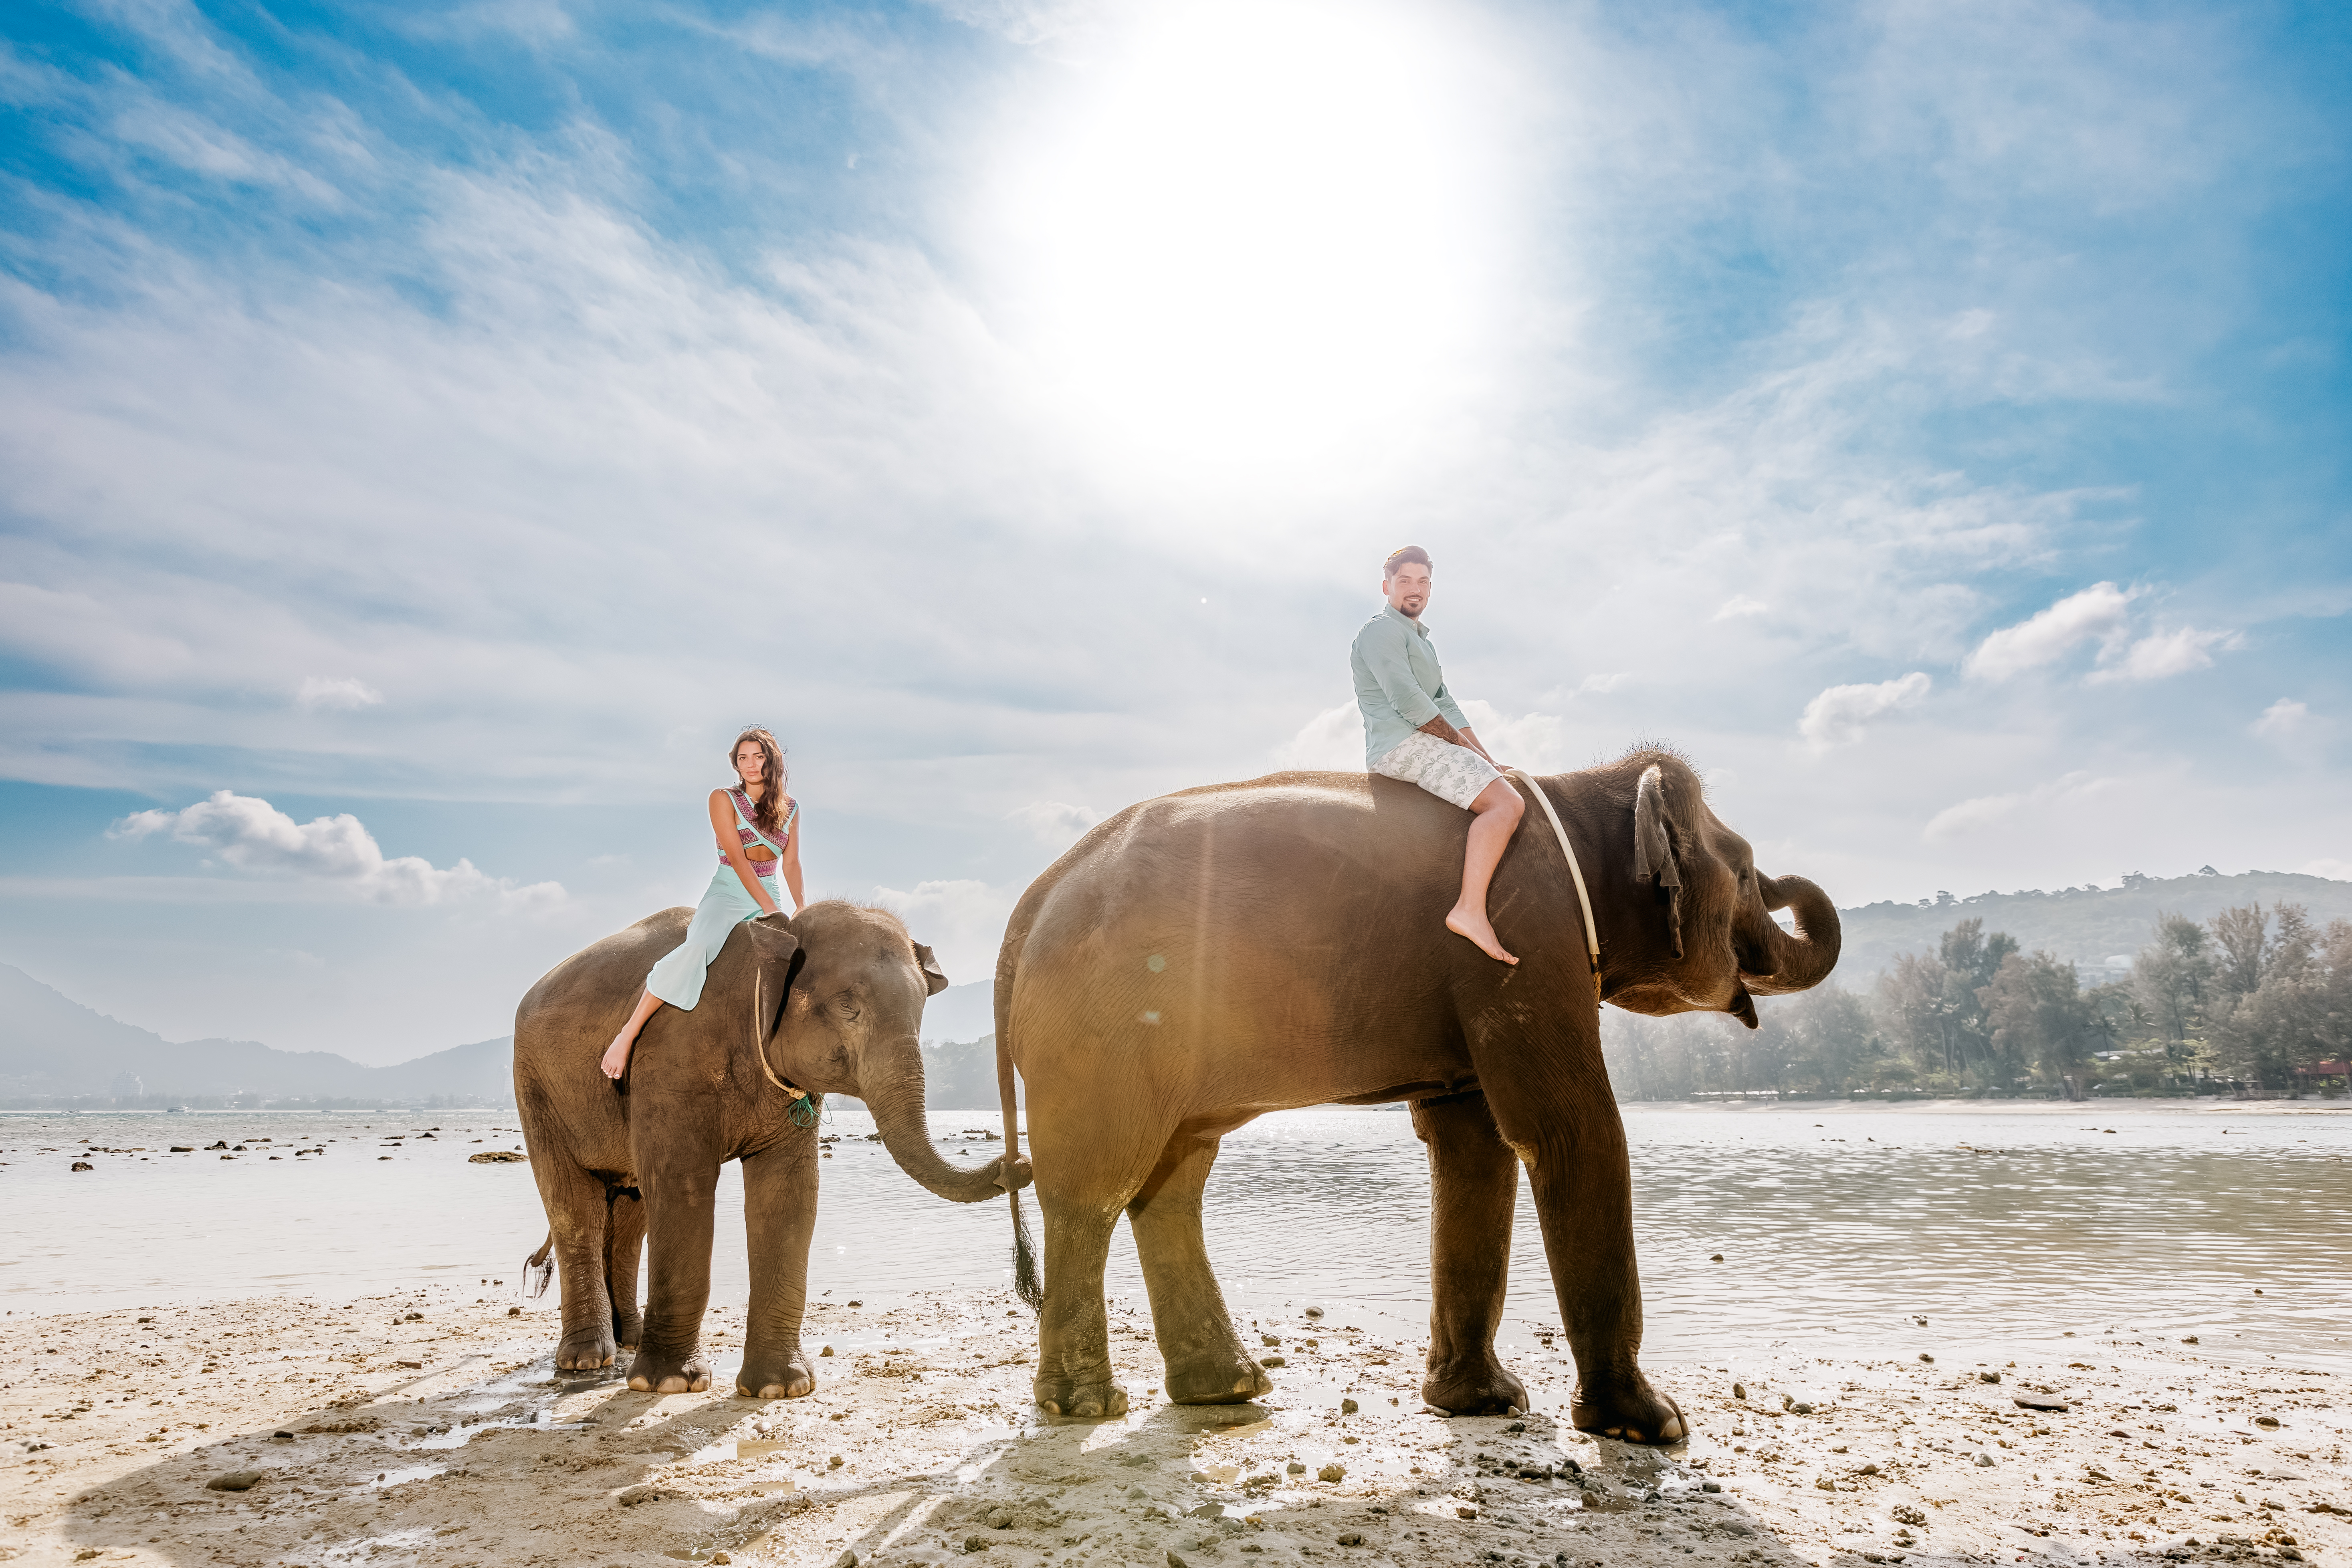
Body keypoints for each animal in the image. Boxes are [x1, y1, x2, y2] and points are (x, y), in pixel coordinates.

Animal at [513, 899, 1027, 1397]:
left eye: (922, 1006)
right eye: (848, 1004)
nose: (1017, 1164)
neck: (771, 939)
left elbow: (788, 1196)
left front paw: (782, 1388)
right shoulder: (669, 1064)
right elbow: (683, 1189)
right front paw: (670, 1384)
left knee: (630, 1210)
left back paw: (628, 1340)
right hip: (536, 1090)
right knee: (574, 1209)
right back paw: (587, 1361)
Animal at [989, 748, 1838, 1441]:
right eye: (1743, 869)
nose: (1785, 880)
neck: (1571, 789)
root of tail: (1031, 900)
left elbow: (1473, 1145)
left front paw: (1480, 1403)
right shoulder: (1518, 935)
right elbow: (1570, 1128)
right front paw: (1650, 1424)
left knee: (1171, 1180)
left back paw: (1224, 1388)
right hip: (1104, 1032)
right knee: (1095, 1187)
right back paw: (1084, 1405)